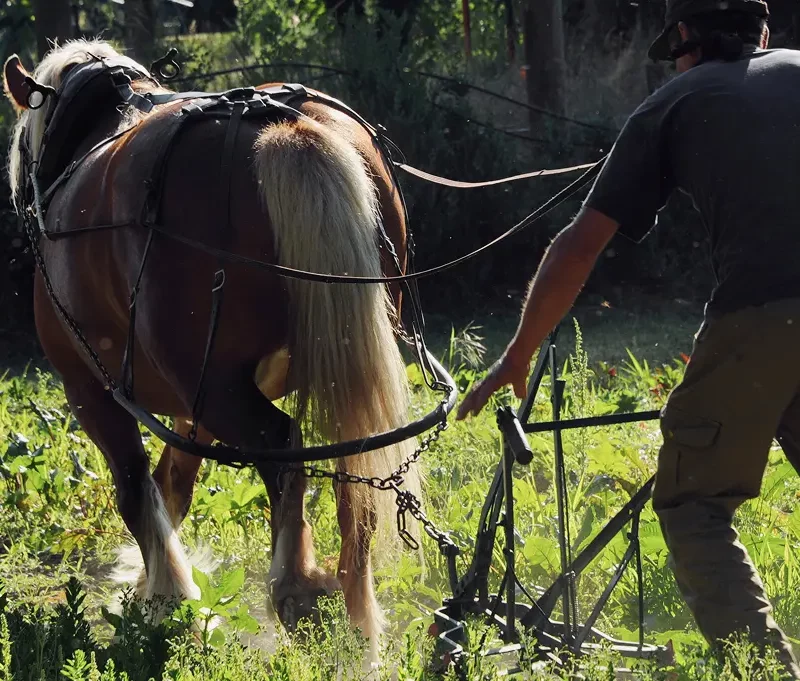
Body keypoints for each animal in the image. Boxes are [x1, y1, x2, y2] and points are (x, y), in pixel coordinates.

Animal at [3, 38, 421, 659]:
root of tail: (278, 122)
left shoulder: (92, 389)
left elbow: (136, 489)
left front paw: (165, 598)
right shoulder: (191, 405)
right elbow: (173, 482)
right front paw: (152, 586)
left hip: (217, 391)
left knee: (283, 452)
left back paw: (297, 589)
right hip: (306, 379)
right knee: (357, 472)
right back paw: (357, 618)